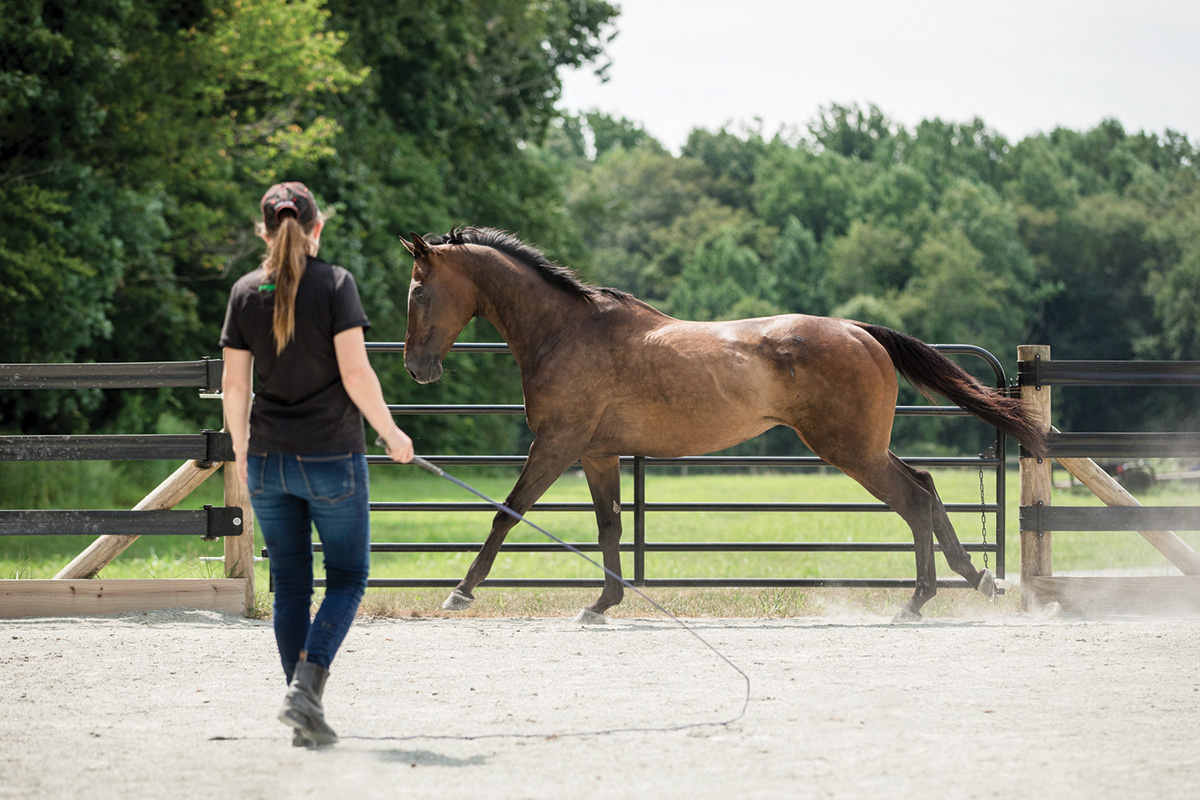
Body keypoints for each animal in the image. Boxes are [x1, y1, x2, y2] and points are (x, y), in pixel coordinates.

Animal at [398, 227, 1046, 623]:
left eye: (419, 292)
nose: (416, 368)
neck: (566, 332)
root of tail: (861, 331)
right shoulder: (596, 454)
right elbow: (609, 527)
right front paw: (602, 604)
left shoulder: (556, 445)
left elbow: (506, 512)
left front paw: (460, 591)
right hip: (861, 447)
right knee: (927, 487)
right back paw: (975, 577)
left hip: (850, 450)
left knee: (912, 500)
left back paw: (917, 602)